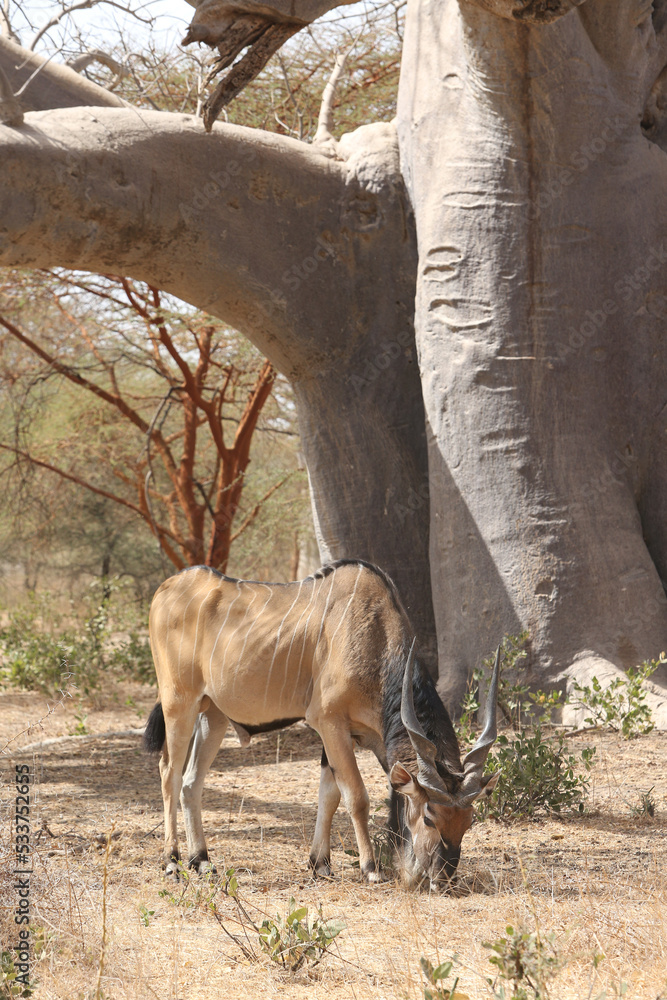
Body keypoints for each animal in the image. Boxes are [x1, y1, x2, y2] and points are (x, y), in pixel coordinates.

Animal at [144, 559, 501, 888]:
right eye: (429, 817)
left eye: (469, 821)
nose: (443, 879)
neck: (376, 636)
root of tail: (164, 589)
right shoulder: (330, 723)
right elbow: (355, 796)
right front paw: (371, 868)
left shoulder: (352, 736)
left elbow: (329, 795)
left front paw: (320, 864)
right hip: (179, 703)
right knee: (169, 773)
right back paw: (172, 861)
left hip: (213, 714)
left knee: (191, 781)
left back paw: (201, 860)